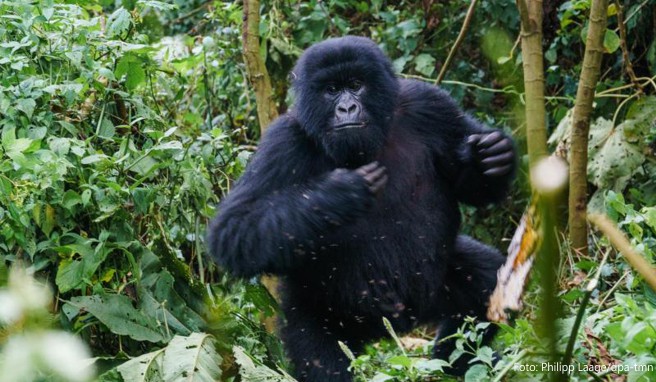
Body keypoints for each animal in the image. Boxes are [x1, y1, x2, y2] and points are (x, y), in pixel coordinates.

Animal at [208, 36, 516, 382]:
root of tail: (394, 328)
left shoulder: (431, 105)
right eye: (331, 90)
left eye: (356, 85)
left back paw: (456, 361)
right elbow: (234, 231)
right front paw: (337, 194)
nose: (346, 108)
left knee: (488, 278)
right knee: (321, 360)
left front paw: (488, 161)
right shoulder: (282, 142)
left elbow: (469, 183)